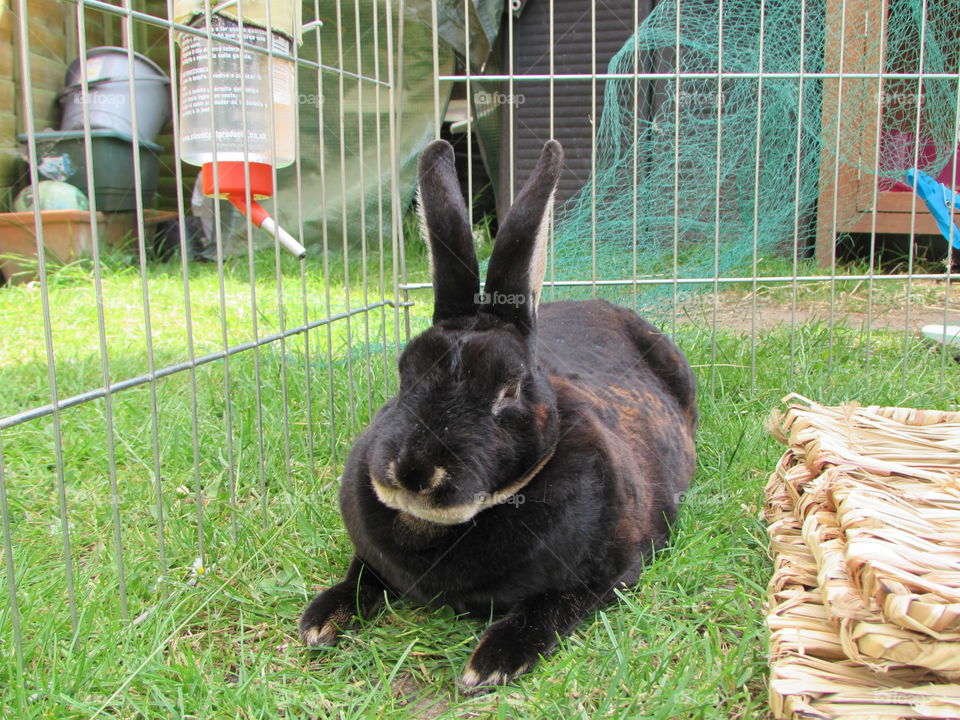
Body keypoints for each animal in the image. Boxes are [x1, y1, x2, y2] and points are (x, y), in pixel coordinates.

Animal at [300, 136, 696, 692]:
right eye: (404, 372)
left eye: (509, 390)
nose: (414, 473)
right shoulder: (370, 560)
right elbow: (360, 576)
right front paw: (320, 621)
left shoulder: (611, 570)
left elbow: (551, 607)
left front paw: (490, 664)